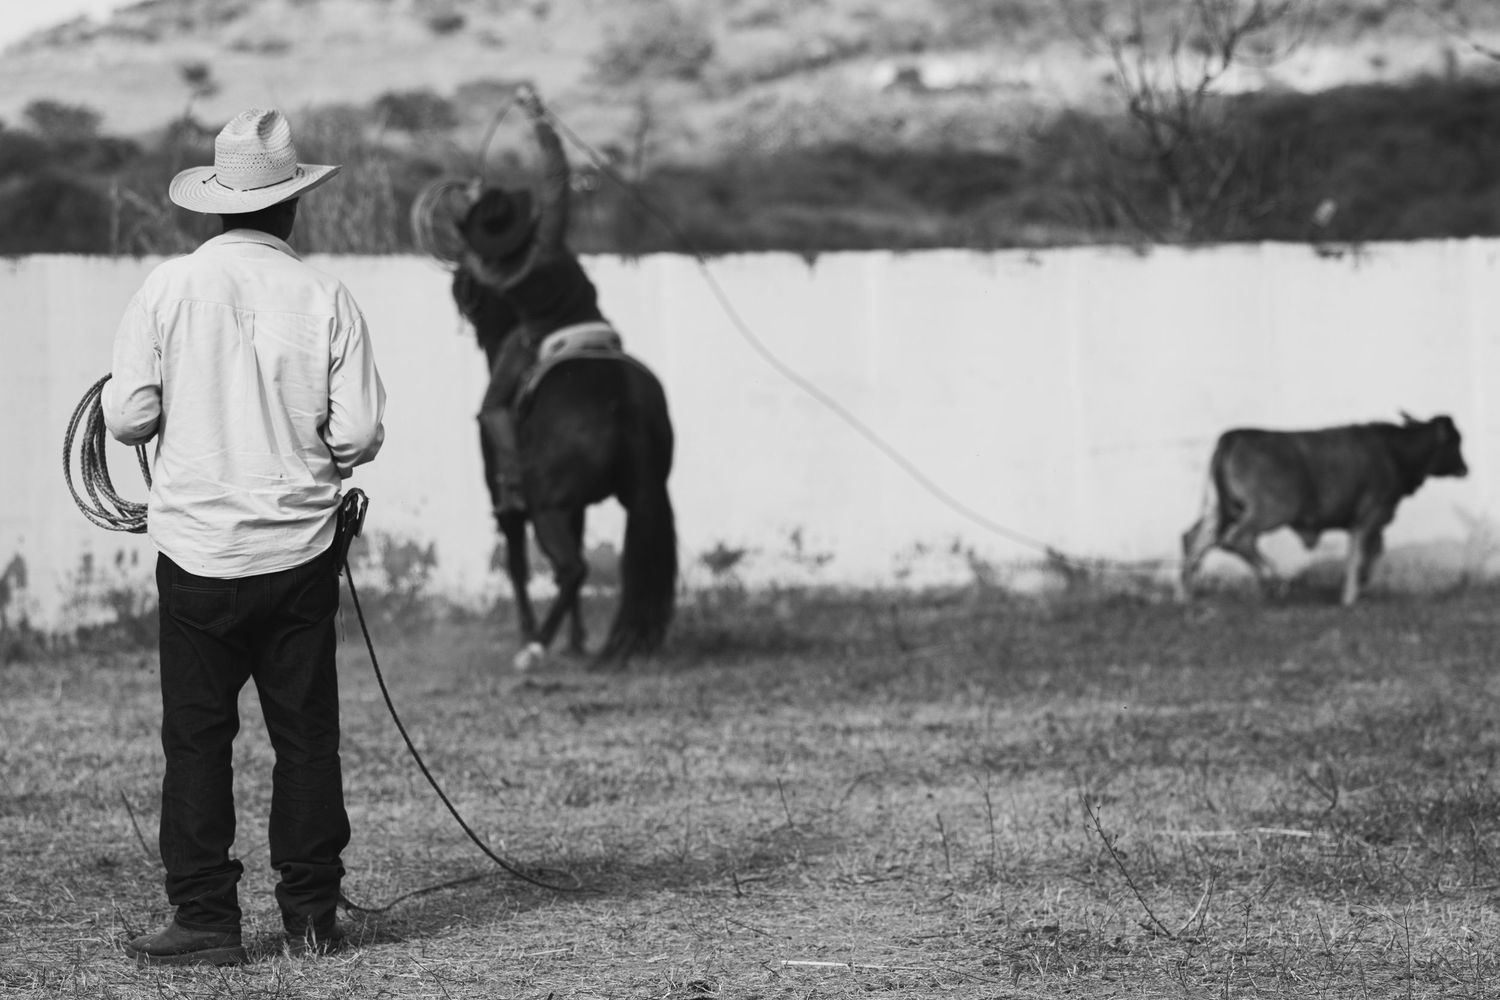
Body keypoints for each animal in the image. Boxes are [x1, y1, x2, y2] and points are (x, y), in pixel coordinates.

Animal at [453, 269, 678, 669]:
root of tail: (626, 397)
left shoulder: (509, 508)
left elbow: (518, 567)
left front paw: (529, 632)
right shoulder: (578, 507)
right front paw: (576, 640)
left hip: (546, 508)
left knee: (573, 568)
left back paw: (535, 645)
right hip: (641, 497)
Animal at [1178, 414, 1468, 605]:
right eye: (1455, 442)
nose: (1465, 468)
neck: (1395, 452)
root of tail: (1233, 435)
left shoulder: (1372, 522)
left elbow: (1372, 553)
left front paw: (1362, 588)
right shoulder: (1371, 515)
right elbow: (1359, 555)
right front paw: (1350, 597)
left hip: (1219, 509)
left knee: (1195, 539)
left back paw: (1185, 595)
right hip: (1270, 510)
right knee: (1237, 538)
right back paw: (1276, 580)